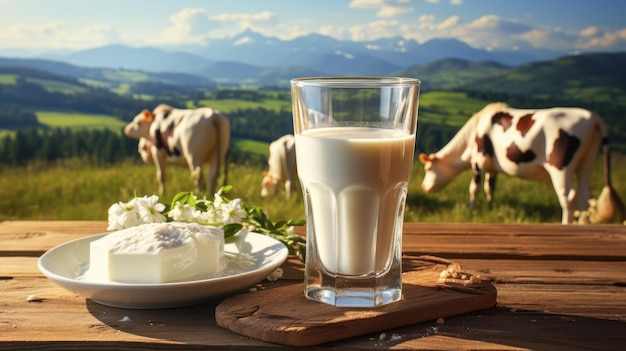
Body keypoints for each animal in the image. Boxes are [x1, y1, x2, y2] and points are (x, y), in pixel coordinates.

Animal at [416, 102, 620, 224]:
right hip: (587, 161)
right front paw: (490, 206)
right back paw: (582, 223)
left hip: (561, 166)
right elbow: (490, 188)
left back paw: (566, 223)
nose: (423, 187)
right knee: (586, 197)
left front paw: (472, 210)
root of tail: (594, 117)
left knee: (569, 197)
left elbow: (474, 188)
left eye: (428, 168)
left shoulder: (479, 161)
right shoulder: (492, 167)